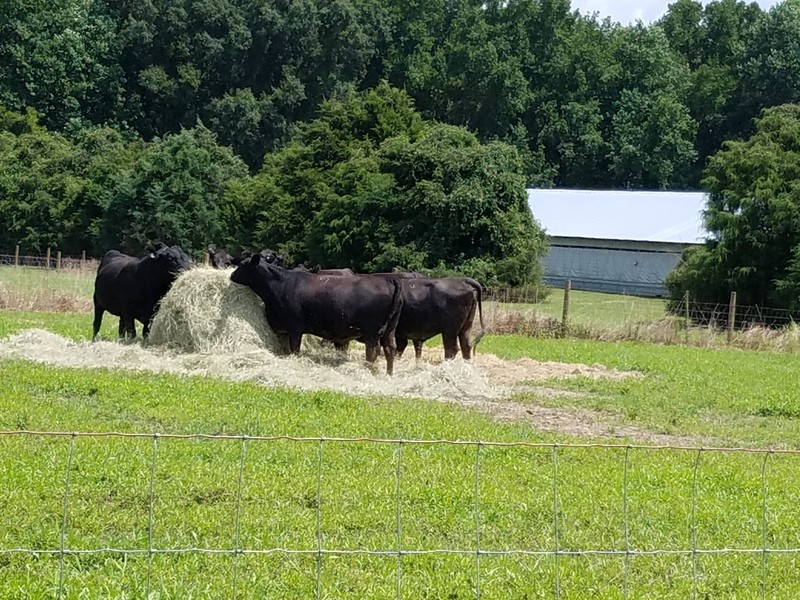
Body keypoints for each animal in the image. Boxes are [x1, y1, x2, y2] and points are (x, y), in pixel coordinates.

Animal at [229, 253, 403, 374]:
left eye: (243, 265)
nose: (231, 275)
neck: (281, 284)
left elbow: (295, 349)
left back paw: (368, 370)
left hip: (371, 333)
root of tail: (389, 282)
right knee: (390, 349)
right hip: (390, 330)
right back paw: (388, 374)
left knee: (373, 352)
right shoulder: (282, 329)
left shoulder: (295, 327)